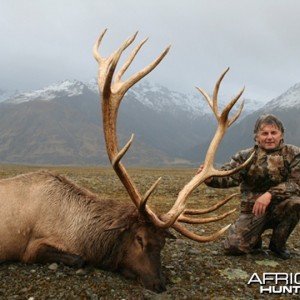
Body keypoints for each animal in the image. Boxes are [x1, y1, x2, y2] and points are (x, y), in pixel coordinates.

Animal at [0, 31, 253, 292]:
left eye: (162, 244)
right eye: (139, 238)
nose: (159, 284)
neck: (81, 233)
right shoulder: (31, 248)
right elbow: (79, 259)